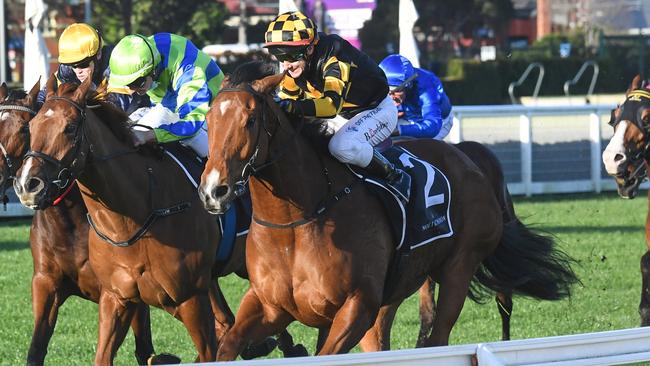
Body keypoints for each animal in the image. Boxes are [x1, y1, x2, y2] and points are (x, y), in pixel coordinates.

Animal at [0, 82, 170, 366]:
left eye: (24, 127)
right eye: (33, 128)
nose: (26, 186)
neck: (70, 223)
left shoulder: (120, 292)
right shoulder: (45, 284)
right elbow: (36, 349)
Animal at [197, 63, 576, 358]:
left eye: (249, 120)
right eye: (208, 121)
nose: (214, 190)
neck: (296, 221)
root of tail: (470, 159)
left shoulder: (356, 306)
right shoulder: (269, 306)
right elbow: (227, 346)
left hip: (459, 265)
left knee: (440, 335)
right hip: (398, 286)